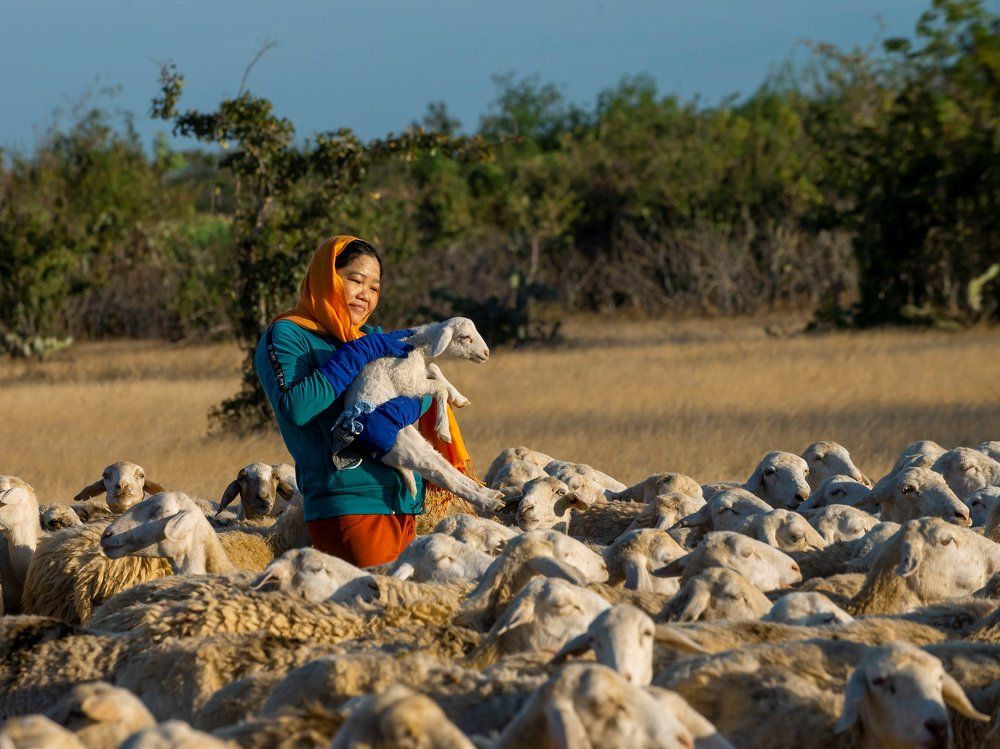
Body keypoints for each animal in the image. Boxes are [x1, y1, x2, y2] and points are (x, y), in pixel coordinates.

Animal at [339, 317, 504, 513]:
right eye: (465, 337)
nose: (486, 353)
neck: (415, 346)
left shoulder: (420, 374)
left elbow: (434, 368)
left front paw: (459, 398)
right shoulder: (408, 383)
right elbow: (438, 386)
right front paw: (443, 429)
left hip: (418, 443)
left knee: (444, 467)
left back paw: (489, 492)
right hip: (404, 450)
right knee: (440, 476)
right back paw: (488, 502)